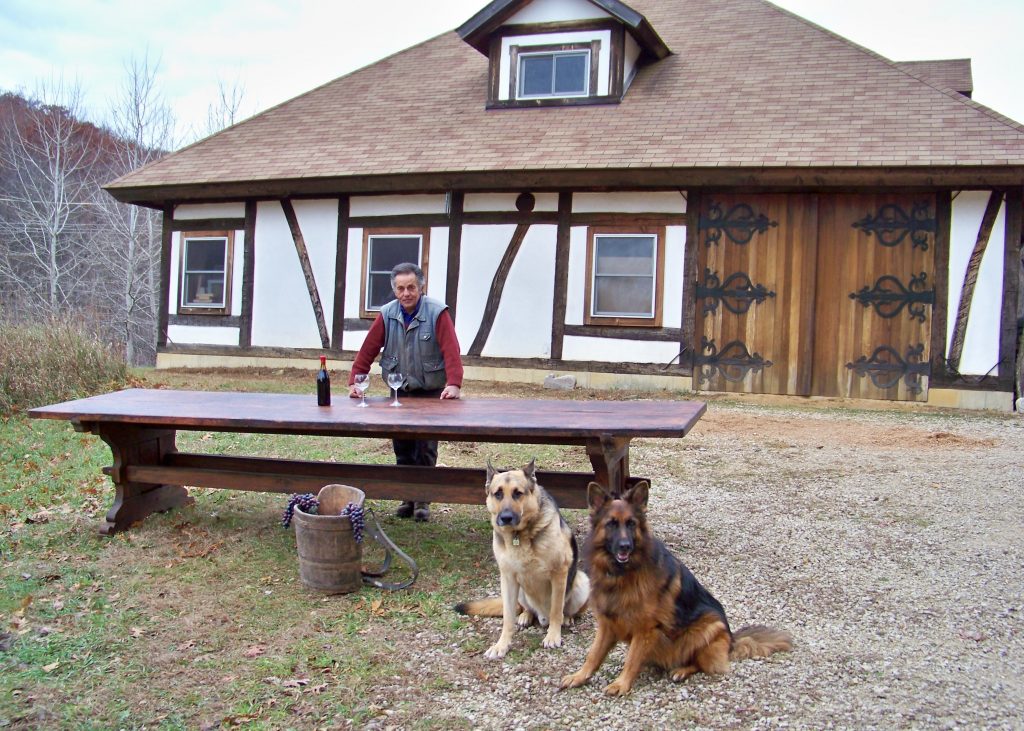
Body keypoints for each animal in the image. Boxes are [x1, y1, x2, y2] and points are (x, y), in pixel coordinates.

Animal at [458, 458, 593, 659]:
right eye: (498, 494)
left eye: (518, 493)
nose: (506, 518)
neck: (519, 535)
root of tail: (541, 616)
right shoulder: (507, 578)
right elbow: (507, 618)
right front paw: (501, 645)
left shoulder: (559, 573)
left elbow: (556, 610)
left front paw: (553, 636)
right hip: (520, 589)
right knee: (525, 609)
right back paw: (525, 616)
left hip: (582, 582)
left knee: (565, 611)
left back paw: (566, 619)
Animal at [561, 479, 790, 696]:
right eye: (611, 524)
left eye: (631, 523)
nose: (625, 546)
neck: (623, 573)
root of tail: (732, 640)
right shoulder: (608, 624)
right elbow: (593, 654)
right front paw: (579, 676)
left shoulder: (645, 628)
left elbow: (632, 658)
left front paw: (621, 684)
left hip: (707, 628)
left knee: (700, 663)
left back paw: (681, 670)